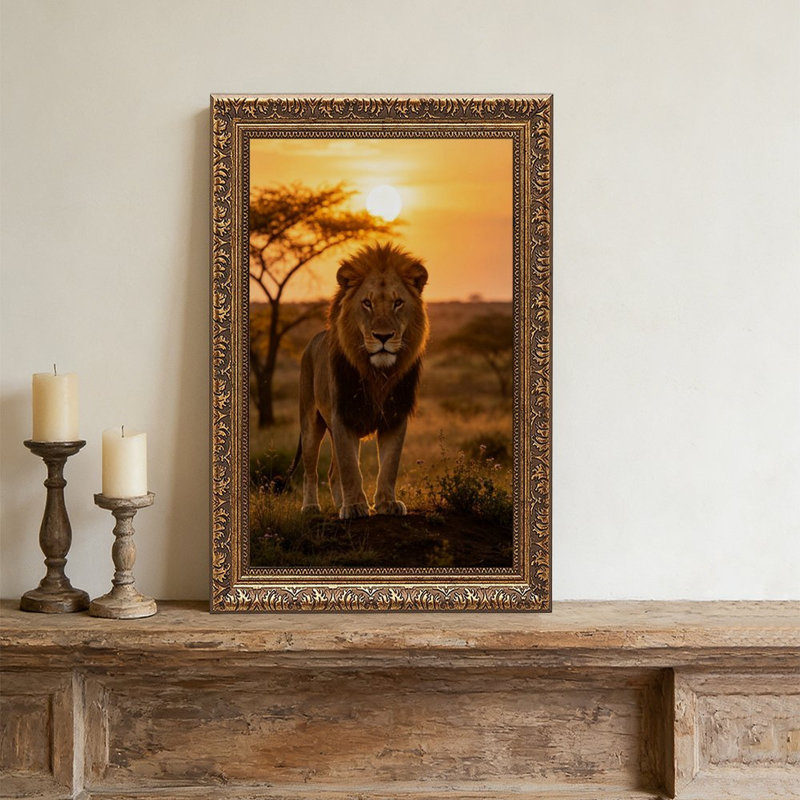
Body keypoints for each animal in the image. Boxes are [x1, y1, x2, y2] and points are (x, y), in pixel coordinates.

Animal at [294, 242, 429, 519]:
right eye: (367, 303)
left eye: (398, 303)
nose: (383, 336)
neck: (377, 374)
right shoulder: (343, 414)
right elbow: (350, 468)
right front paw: (355, 506)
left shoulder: (395, 415)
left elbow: (389, 464)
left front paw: (387, 503)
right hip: (311, 424)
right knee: (310, 470)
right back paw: (311, 507)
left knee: (332, 473)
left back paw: (338, 504)